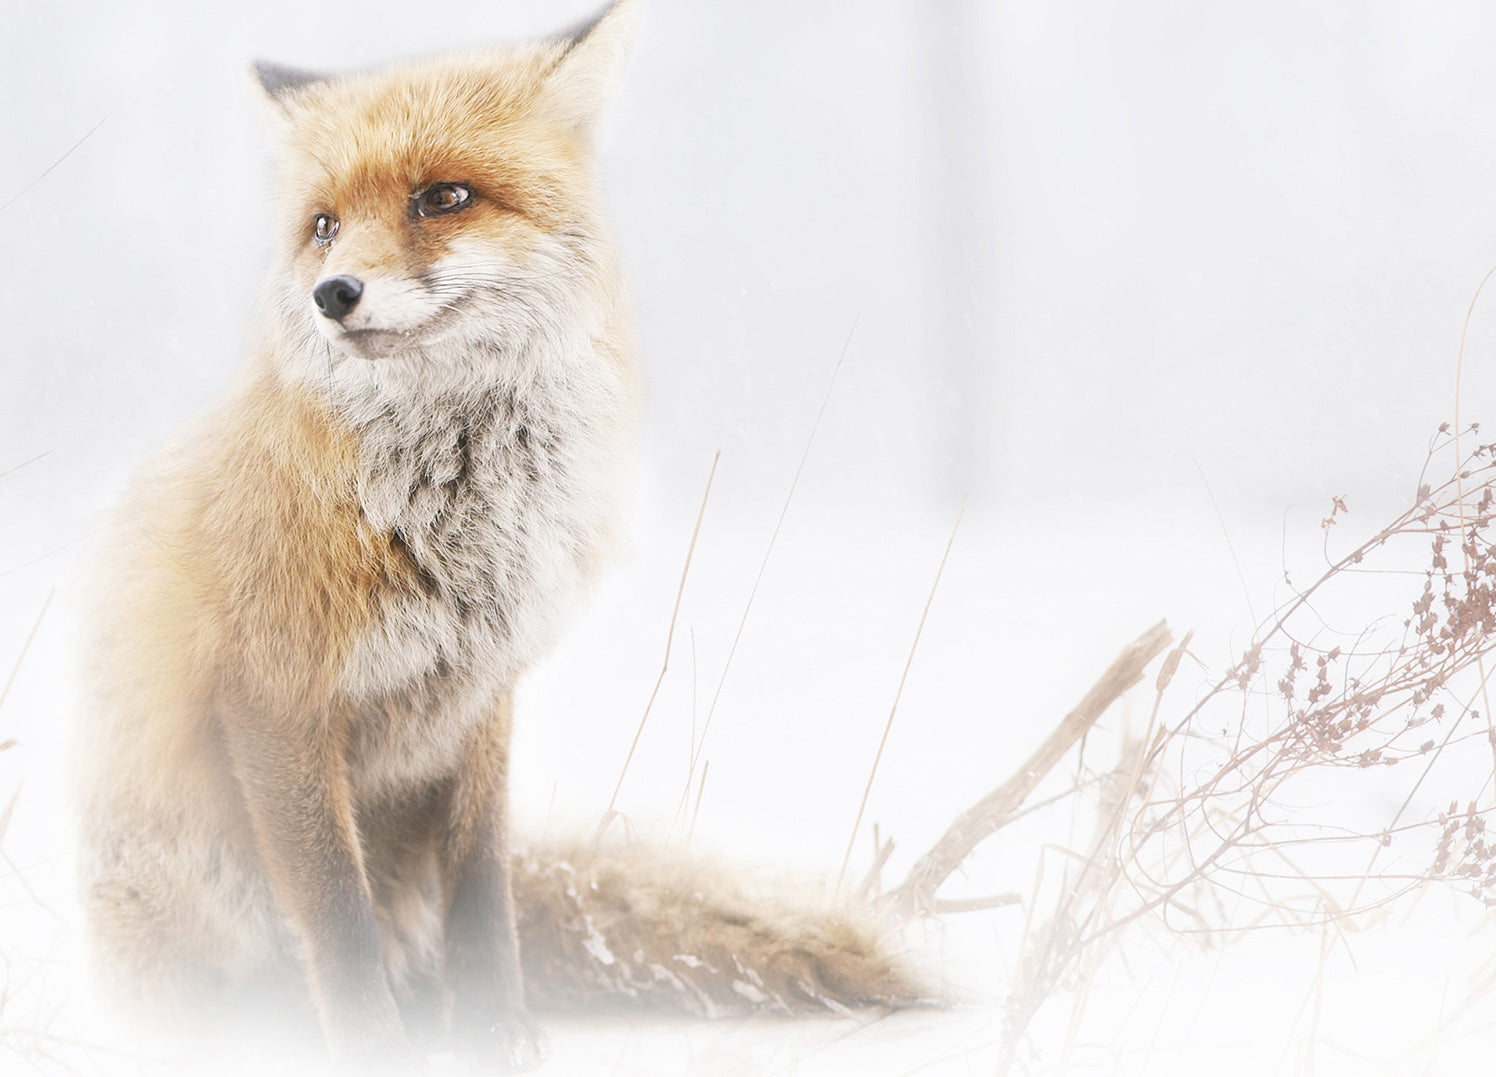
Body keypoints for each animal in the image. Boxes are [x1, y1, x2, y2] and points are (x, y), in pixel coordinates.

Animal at [76, 1, 923, 1071]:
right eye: (324, 225)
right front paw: (371, 1046)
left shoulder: (483, 694)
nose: (332, 293)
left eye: (443, 197)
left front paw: (496, 1027)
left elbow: (482, 884)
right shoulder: (273, 697)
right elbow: (338, 913)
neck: (456, 527)